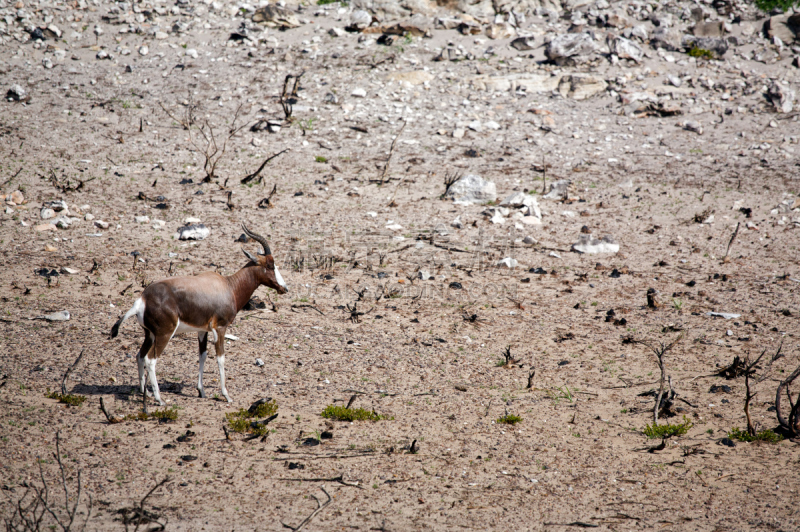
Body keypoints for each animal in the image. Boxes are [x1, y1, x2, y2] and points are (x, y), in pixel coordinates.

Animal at [109, 223, 288, 404]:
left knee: (139, 355)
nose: (284, 288)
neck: (228, 286)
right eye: (270, 265)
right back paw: (159, 399)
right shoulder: (220, 328)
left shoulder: (203, 331)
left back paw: (144, 391)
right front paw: (226, 395)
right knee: (151, 360)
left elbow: (202, 355)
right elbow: (221, 358)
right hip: (164, 334)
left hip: (149, 334)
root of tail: (142, 300)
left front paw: (201, 391)